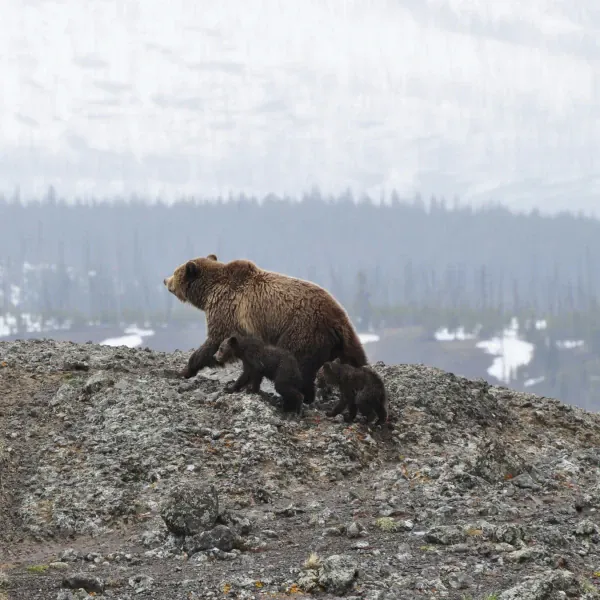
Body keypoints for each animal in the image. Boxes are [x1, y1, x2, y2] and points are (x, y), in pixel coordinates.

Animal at [162, 253, 366, 404]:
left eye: (175, 271)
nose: (165, 280)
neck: (208, 293)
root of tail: (338, 319)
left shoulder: (227, 310)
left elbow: (214, 341)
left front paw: (185, 370)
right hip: (341, 343)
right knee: (355, 360)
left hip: (302, 330)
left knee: (298, 364)